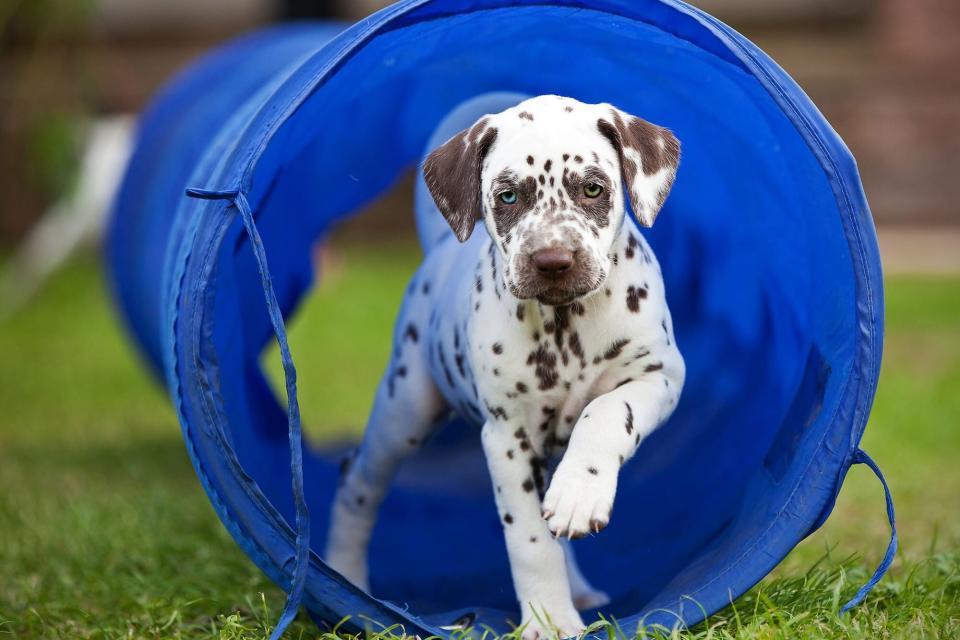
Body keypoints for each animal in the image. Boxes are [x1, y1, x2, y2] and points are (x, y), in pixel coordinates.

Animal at [326, 92, 688, 636]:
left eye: (593, 188)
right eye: (509, 196)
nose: (553, 260)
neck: (565, 326)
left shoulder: (659, 377)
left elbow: (605, 413)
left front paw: (581, 492)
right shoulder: (507, 438)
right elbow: (531, 540)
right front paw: (552, 621)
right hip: (403, 413)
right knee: (357, 483)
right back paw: (344, 575)